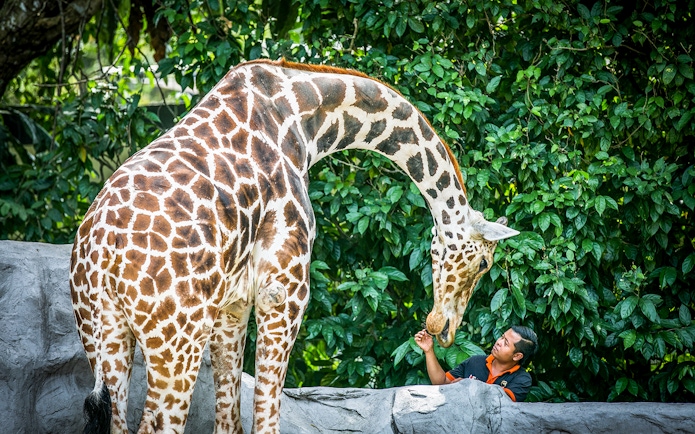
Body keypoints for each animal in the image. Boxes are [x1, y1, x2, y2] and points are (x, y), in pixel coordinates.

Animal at [70, 59, 519, 434]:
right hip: (176, 341)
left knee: (119, 420)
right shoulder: (283, 292)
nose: (442, 329)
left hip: (103, 337)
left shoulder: (232, 306)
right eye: (483, 264)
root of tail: (99, 254)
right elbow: (266, 420)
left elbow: (230, 421)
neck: (308, 118)